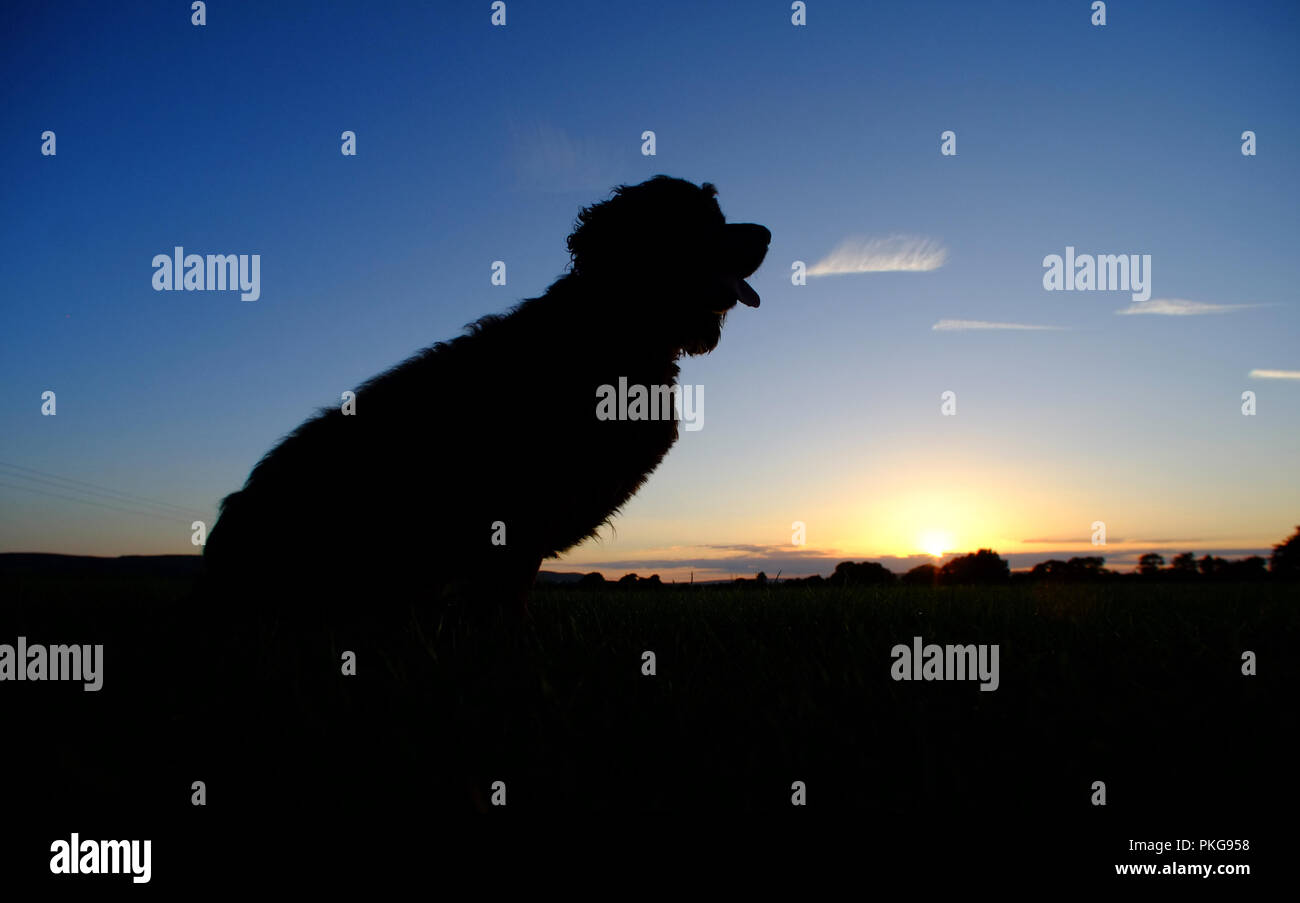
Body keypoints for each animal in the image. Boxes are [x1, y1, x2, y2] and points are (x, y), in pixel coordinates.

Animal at [205, 176, 769, 615]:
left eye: (719, 212)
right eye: (695, 217)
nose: (766, 233)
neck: (613, 324)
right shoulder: (516, 513)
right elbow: (507, 600)